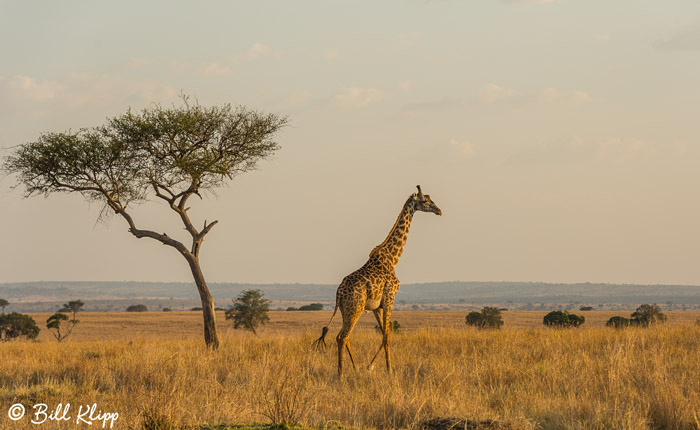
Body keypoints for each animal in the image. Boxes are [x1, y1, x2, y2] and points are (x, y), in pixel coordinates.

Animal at [314, 185, 440, 376]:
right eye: (425, 200)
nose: (439, 210)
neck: (392, 259)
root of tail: (338, 294)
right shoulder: (390, 298)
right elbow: (387, 336)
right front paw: (389, 370)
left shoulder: (376, 307)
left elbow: (384, 334)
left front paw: (370, 366)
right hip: (356, 308)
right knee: (342, 337)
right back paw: (341, 374)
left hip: (346, 310)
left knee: (342, 336)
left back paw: (355, 368)